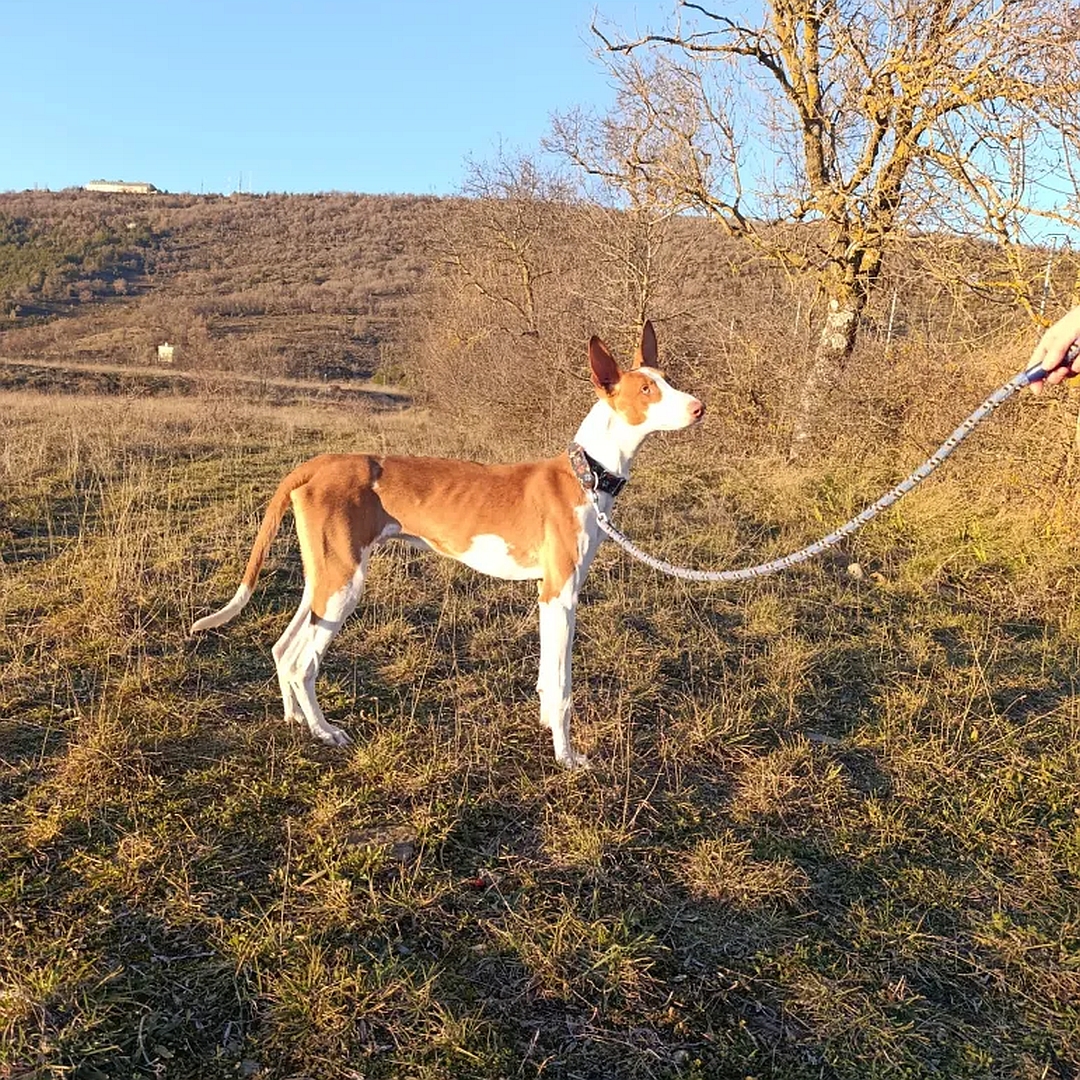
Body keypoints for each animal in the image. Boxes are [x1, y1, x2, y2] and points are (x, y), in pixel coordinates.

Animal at [190, 321, 704, 768]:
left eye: (669, 381)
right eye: (647, 391)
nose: (700, 407)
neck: (586, 473)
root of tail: (318, 463)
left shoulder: (550, 597)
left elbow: (545, 680)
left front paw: (544, 728)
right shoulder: (560, 594)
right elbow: (562, 688)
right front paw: (567, 758)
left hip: (325, 579)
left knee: (282, 648)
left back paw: (295, 718)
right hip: (344, 586)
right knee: (302, 663)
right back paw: (325, 731)